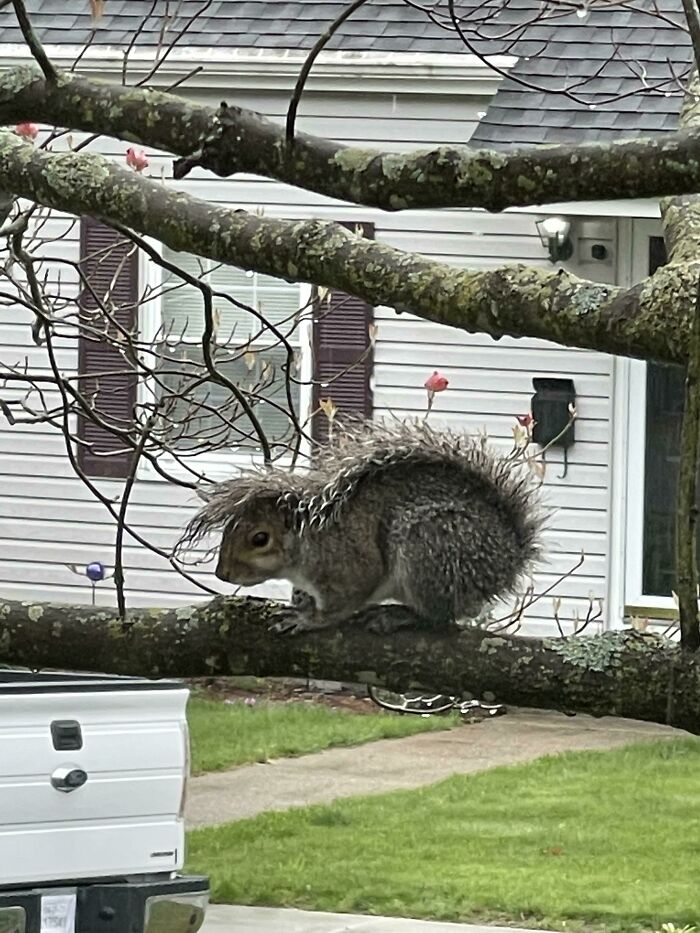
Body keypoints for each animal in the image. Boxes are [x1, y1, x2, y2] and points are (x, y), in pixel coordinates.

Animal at [180, 420, 544, 635]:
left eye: (259, 538)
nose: (222, 574)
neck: (306, 544)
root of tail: (508, 558)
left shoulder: (348, 569)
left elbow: (342, 604)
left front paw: (308, 620)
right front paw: (301, 603)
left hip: (431, 547)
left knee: (438, 615)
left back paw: (398, 616)